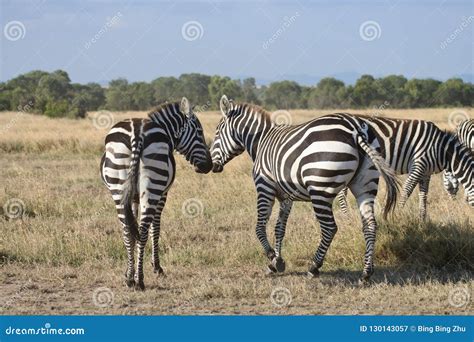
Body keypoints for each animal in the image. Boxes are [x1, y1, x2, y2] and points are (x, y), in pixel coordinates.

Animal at [100, 97, 211, 290]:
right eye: (199, 131)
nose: (209, 166)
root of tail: (136, 132)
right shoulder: (162, 196)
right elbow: (155, 229)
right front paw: (157, 267)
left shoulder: (133, 198)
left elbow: (134, 227)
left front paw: (131, 270)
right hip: (154, 187)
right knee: (144, 230)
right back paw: (140, 280)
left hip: (118, 188)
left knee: (127, 229)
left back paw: (131, 279)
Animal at [211, 95, 400, 282]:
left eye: (217, 132)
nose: (212, 166)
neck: (261, 141)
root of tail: (355, 128)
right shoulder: (286, 197)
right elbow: (279, 228)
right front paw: (277, 262)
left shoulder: (264, 187)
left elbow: (259, 227)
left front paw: (272, 258)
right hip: (366, 185)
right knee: (370, 225)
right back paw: (366, 272)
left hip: (320, 189)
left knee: (330, 228)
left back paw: (313, 267)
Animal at [336, 116, 474, 220]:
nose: (456, 205)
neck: (442, 151)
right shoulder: (418, 164)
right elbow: (407, 191)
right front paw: (397, 214)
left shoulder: (426, 172)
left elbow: (423, 195)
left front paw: (422, 220)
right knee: (341, 193)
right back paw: (347, 218)